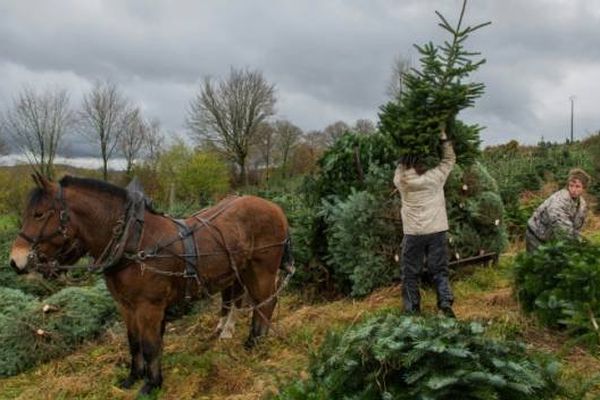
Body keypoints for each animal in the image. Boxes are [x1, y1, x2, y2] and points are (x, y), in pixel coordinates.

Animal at [8, 175, 292, 396]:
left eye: (39, 214)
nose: (15, 260)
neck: (133, 243)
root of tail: (276, 208)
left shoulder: (150, 307)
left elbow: (150, 344)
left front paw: (152, 384)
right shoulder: (126, 306)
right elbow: (134, 342)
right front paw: (133, 377)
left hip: (261, 269)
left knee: (265, 303)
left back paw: (254, 342)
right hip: (239, 270)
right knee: (240, 300)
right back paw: (228, 332)